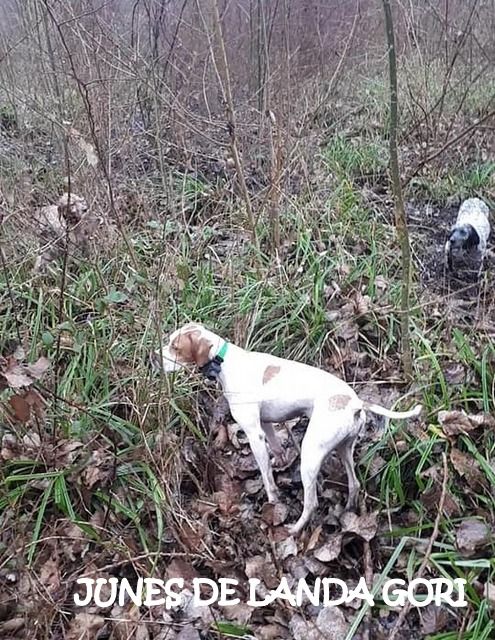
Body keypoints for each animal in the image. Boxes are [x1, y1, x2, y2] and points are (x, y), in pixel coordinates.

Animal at [151, 320, 422, 536]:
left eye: (175, 348)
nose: (154, 357)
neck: (225, 362)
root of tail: (355, 401)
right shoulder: (266, 426)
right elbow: (277, 450)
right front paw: (281, 465)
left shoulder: (254, 434)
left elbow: (266, 475)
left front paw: (273, 501)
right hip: (344, 448)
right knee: (354, 483)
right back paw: (348, 510)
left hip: (311, 454)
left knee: (311, 503)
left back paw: (294, 529)